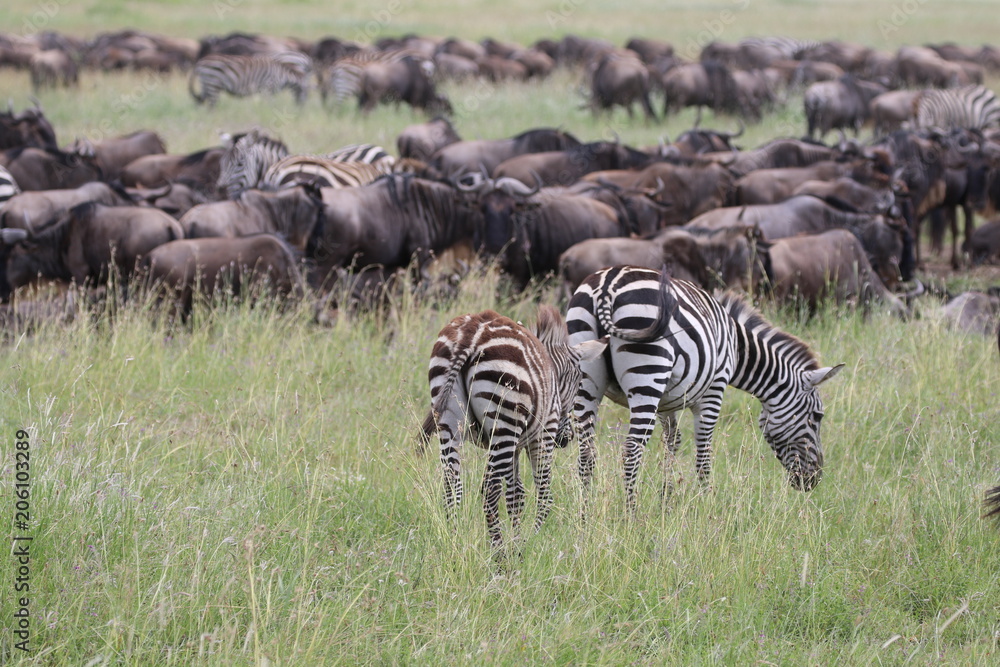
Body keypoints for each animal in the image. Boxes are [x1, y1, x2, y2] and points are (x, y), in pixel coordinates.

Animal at [425, 307, 606, 553]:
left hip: (451, 422)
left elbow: (516, 494)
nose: (566, 439)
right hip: (505, 414)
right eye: (579, 383)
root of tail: (472, 331)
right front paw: (530, 541)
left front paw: (518, 540)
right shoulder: (544, 433)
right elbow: (544, 494)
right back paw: (498, 553)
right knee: (490, 490)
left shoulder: (515, 446)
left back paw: (455, 543)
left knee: (452, 486)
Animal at [567, 266, 844, 511]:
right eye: (817, 417)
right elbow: (703, 453)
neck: (737, 347)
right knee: (632, 449)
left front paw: (666, 499)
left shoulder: (667, 399)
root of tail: (607, 285)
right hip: (647, 375)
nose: (814, 480)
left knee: (586, 453)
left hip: (588, 376)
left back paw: (585, 514)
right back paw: (631, 515)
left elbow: (672, 441)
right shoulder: (714, 390)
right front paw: (707, 503)